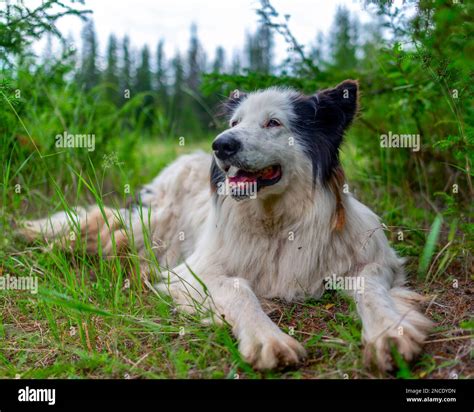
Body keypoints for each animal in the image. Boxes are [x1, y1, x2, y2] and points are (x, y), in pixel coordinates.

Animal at [22, 82, 434, 372]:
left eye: (273, 122)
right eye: (235, 123)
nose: (220, 145)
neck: (275, 222)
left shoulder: (374, 260)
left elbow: (370, 288)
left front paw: (389, 332)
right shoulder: (194, 273)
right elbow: (239, 290)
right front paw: (267, 338)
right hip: (152, 223)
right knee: (106, 226)